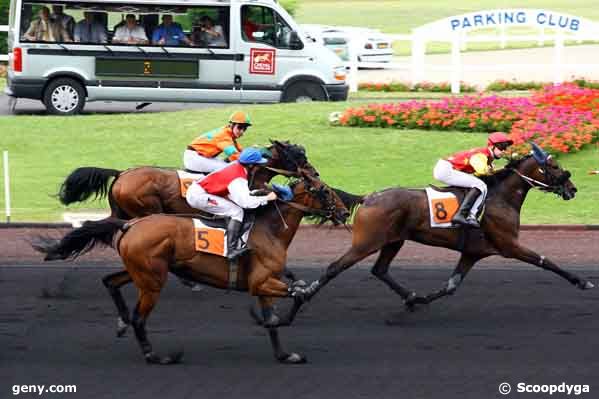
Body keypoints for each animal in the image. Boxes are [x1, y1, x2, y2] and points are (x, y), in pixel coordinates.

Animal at [34, 172, 352, 366]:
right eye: (324, 191)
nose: (344, 211)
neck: (269, 229)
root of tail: (129, 225)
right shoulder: (260, 282)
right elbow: (300, 294)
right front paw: (280, 322)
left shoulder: (264, 284)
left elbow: (277, 314)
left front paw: (284, 353)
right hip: (152, 281)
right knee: (140, 318)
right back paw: (157, 356)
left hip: (144, 272)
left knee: (110, 282)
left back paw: (122, 322)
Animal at [292, 144, 596, 318]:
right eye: (553, 166)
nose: (572, 189)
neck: (500, 197)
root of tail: (368, 197)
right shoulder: (509, 245)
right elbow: (546, 261)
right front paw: (582, 281)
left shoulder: (472, 253)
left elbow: (451, 286)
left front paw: (423, 298)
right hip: (366, 242)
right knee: (335, 267)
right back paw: (303, 295)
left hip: (394, 241)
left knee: (380, 270)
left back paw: (411, 298)